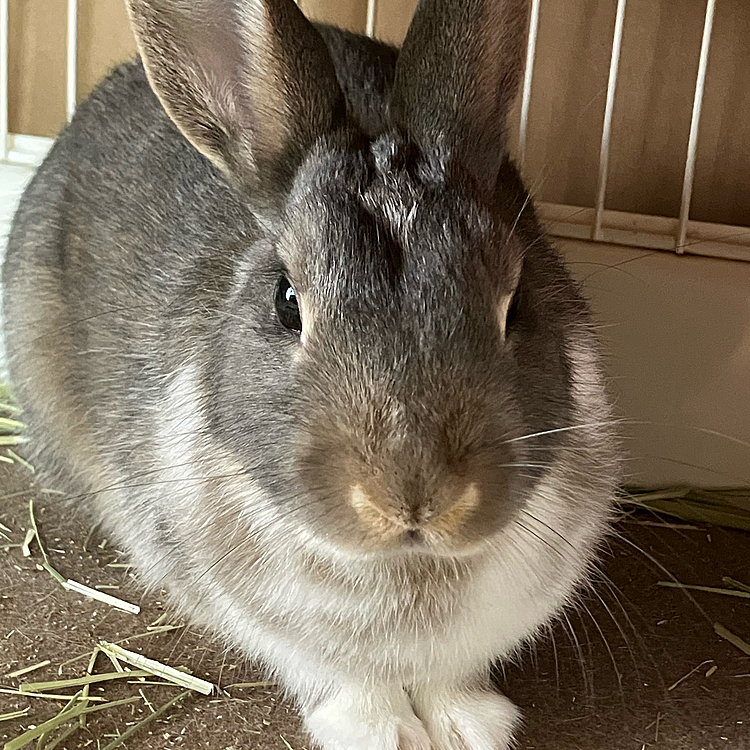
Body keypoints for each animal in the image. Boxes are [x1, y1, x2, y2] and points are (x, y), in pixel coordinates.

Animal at [1, 0, 624, 748]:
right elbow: (348, 682)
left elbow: (451, 678)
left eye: (516, 302)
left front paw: (467, 726)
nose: (415, 498)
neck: (406, 563)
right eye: (286, 302)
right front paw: (382, 733)